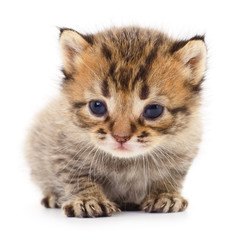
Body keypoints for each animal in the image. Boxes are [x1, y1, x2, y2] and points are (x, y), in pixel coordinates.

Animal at [24, 26, 207, 218]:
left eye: (153, 109)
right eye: (97, 106)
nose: (121, 137)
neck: (125, 162)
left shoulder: (185, 149)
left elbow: (170, 176)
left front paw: (165, 195)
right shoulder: (62, 149)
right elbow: (77, 177)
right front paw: (89, 199)